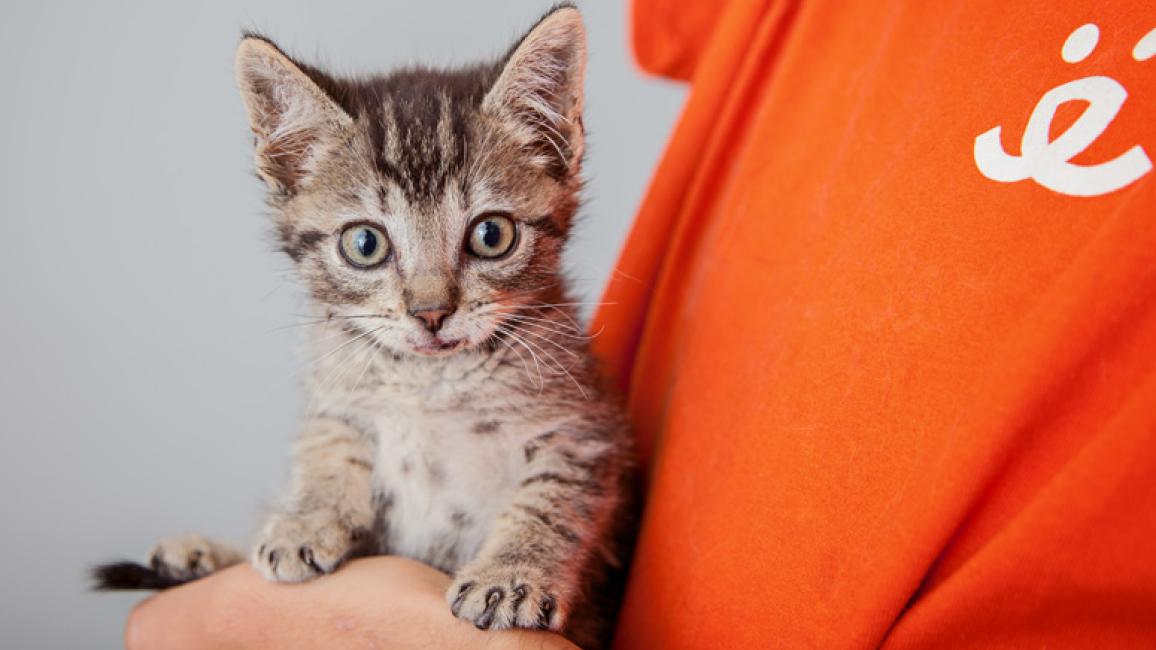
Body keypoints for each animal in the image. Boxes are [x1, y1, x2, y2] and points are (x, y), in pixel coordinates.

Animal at [97, 6, 642, 647]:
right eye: (365, 244)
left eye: (491, 235)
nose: (430, 313)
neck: (429, 382)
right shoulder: (342, 387)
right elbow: (330, 441)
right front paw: (305, 517)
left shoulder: (583, 431)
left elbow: (553, 500)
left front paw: (511, 574)